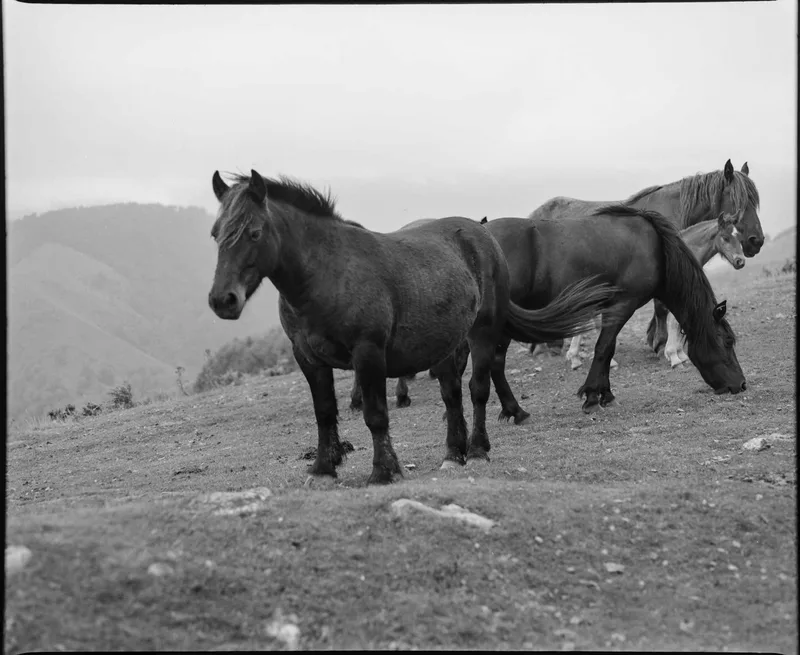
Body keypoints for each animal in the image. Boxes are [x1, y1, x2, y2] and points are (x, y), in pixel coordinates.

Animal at [208, 171, 617, 484]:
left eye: (254, 232)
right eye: (216, 234)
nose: (222, 300)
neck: (328, 275)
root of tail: (482, 234)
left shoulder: (368, 354)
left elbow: (376, 415)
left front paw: (384, 471)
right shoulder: (308, 359)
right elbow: (324, 413)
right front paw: (323, 469)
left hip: (482, 334)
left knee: (478, 389)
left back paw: (478, 449)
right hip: (445, 344)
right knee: (452, 393)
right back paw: (454, 453)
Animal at [564, 211, 747, 371]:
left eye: (739, 237)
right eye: (725, 238)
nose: (740, 261)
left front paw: (680, 355)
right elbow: (674, 323)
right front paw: (674, 357)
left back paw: (576, 359)